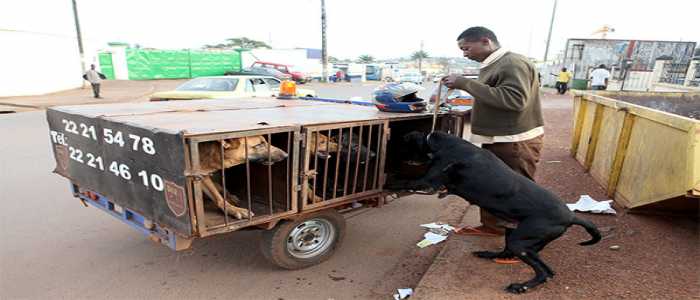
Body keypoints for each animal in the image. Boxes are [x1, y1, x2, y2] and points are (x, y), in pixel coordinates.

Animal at [382, 131, 600, 292]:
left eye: (402, 144)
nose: (390, 160)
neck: (442, 144)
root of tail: (570, 215)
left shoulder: (427, 182)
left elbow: (405, 182)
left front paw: (389, 182)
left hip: (520, 241)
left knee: (545, 272)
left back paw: (522, 286)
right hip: (516, 234)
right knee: (517, 256)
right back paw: (488, 254)